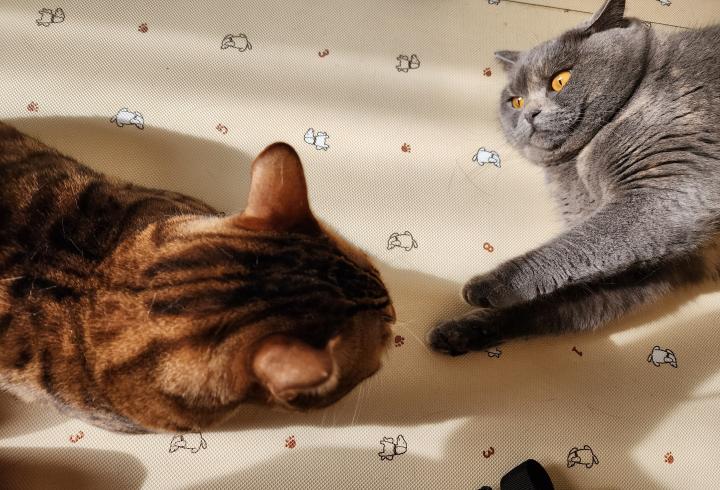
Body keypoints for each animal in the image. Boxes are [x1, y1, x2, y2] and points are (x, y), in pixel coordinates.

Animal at [429, 0, 720, 355]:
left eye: (559, 81)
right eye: (516, 101)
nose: (530, 114)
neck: (577, 167)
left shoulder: (666, 192)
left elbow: (572, 247)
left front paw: (486, 285)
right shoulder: (652, 266)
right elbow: (553, 302)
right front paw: (461, 331)